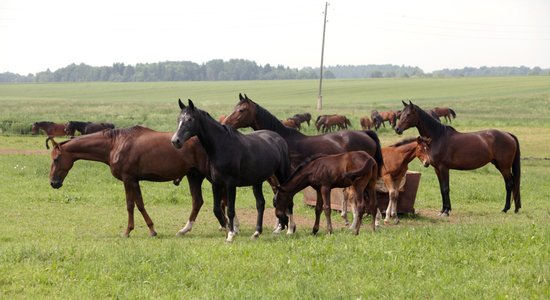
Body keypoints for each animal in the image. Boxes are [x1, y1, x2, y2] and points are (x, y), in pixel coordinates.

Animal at [47, 126, 226, 237]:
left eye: (56, 159)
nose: (53, 183)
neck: (115, 144)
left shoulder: (128, 179)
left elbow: (130, 205)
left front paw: (128, 231)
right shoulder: (134, 180)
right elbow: (139, 203)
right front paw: (152, 229)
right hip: (194, 176)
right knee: (198, 201)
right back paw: (186, 229)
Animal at [172, 99, 294, 243]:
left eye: (190, 119)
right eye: (178, 119)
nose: (175, 141)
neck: (222, 146)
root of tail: (279, 139)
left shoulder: (230, 184)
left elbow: (230, 210)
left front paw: (230, 235)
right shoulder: (216, 184)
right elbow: (217, 209)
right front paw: (229, 230)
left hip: (282, 175)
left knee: (288, 198)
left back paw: (290, 229)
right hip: (257, 181)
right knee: (260, 204)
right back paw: (257, 232)